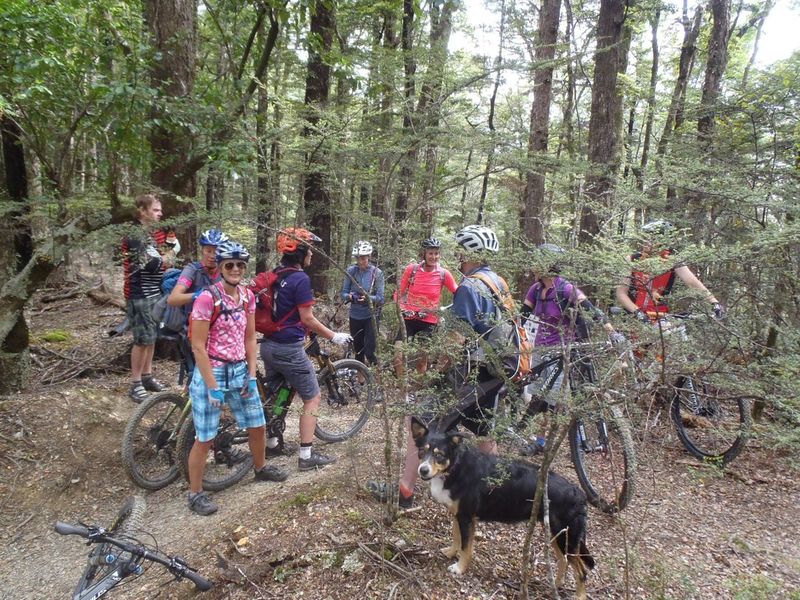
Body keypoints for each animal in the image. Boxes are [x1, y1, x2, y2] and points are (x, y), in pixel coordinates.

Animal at [412, 418, 592, 600]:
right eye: (421, 451)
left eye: (439, 455)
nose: (423, 470)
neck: (455, 468)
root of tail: (579, 493)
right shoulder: (458, 514)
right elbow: (456, 538)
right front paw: (450, 553)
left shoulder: (467, 517)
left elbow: (466, 547)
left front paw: (460, 568)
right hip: (555, 533)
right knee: (563, 561)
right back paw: (555, 585)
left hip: (566, 535)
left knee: (581, 571)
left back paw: (579, 595)